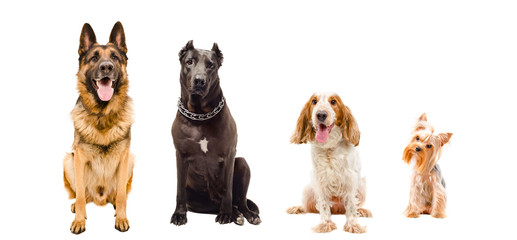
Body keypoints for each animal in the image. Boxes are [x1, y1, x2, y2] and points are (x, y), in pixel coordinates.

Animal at [62, 21, 134, 233]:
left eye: (115, 57)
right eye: (94, 58)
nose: (106, 67)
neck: (103, 116)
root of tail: (100, 198)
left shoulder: (124, 157)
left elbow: (121, 194)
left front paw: (122, 218)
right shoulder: (78, 158)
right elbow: (79, 196)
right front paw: (79, 220)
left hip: (130, 161)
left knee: (117, 194)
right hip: (68, 161)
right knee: (83, 196)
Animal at [169, 40, 260, 226]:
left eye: (211, 65)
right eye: (189, 62)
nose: (199, 80)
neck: (200, 116)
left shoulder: (229, 154)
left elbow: (227, 188)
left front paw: (225, 214)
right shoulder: (180, 155)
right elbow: (179, 189)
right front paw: (179, 214)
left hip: (242, 163)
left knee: (240, 201)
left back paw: (245, 214)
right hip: (198, 201)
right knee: (216, 205)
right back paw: (235, 213)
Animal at [286, 93, 370, 233]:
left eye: (333, 102)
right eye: (314, 101)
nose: (321, 114)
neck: (329, 147)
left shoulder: (350, 178)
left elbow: (351, 205)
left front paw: (352, 225)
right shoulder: (320, 179)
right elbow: (324, 205)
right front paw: (326, 224)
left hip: (362, 185)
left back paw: (362, 211)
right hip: (308, 189)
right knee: (310, 207)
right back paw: (298, 208)